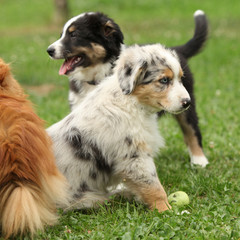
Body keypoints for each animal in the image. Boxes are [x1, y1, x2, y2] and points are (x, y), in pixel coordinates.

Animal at [46, 43, 189, 212]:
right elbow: (153, 186)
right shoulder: (134, 157)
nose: (188, 102)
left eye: (180, 78)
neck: (131, 101)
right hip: (85, 199)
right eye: (164, 80)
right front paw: (167, 210)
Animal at [47, 10, 208, 167]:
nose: (49, 50)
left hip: (185, 101)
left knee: (192, 129)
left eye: (74, 35)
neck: (94, 79)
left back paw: (199, 160)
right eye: (61, 35)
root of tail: (176, 49)